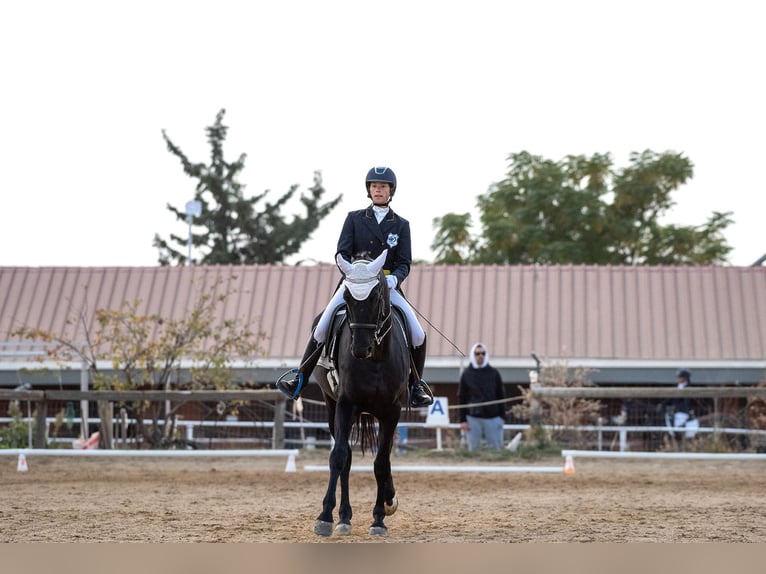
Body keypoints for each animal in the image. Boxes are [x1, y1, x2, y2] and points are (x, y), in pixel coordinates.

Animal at [312, 252, 412, 540]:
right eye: (346, 297)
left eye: (376, 295)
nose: (359, 349)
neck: (375, 360)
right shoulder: (346, 404)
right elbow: (339, 457)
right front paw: (324, 517)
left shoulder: (392, 412)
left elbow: (381, 462)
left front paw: (379, 518)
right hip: (331, 405)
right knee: (346, 457)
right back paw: (344, 517)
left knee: (382, 459)